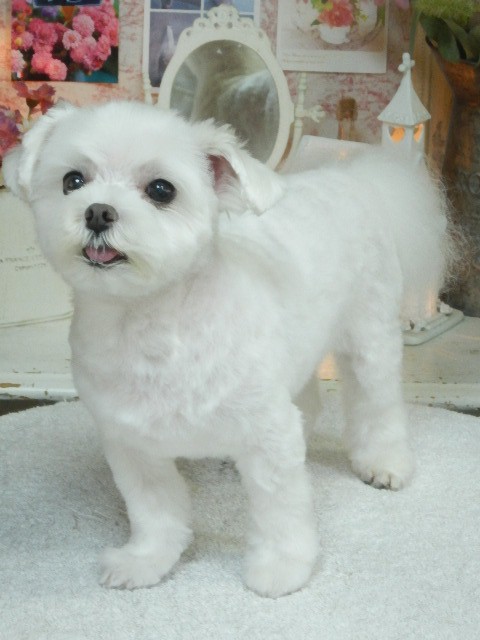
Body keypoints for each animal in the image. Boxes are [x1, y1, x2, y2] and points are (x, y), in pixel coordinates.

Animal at [3, 101, 452, 598]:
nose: (98, 212)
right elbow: (155, 512)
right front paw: (147, 560)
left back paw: (384, 462)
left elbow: (281, 511)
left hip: (368, 337)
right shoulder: (131, 443)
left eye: (161, 190)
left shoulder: (269, 434)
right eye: (73, 180)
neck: (151, 328)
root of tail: (350, 179)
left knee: (378, 402)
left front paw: (282, 568)